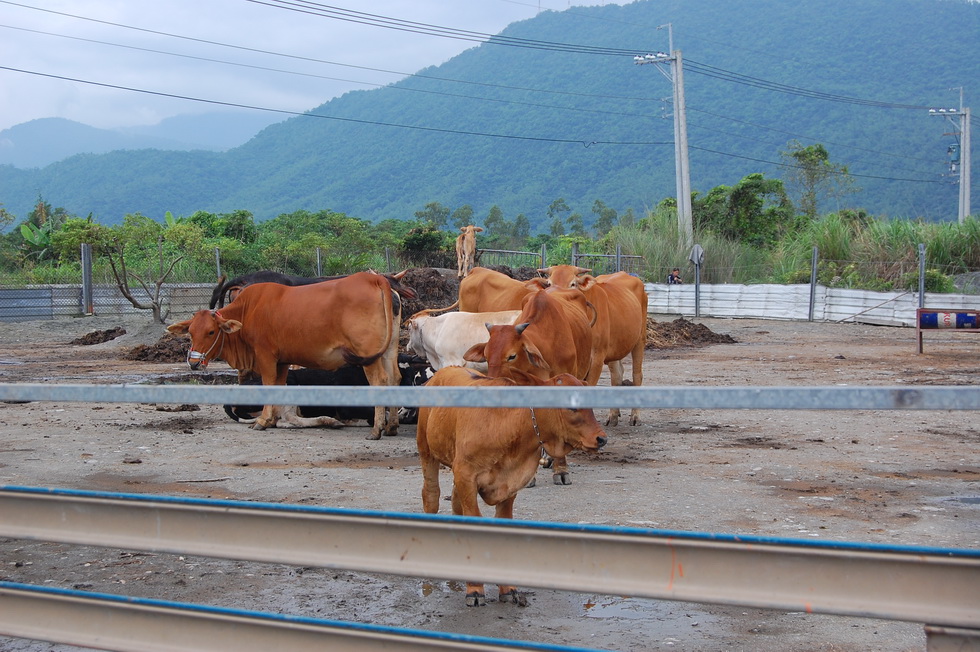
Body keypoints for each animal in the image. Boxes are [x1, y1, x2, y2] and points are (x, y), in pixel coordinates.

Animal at [168, 270, 402, 438]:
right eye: (191, 332)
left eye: (211, 331)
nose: (194, 363)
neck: (248, 309)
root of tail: (375, 280)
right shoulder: (282, 362)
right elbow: (279, 387)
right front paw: (271, 419)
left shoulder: (265, 356)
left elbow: (269, 384)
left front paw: (263, 421)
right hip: (389, 350)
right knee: (394, 378)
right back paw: (391, 426)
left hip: (368, 355)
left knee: (379, 381)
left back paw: (376, 429)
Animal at [418, 366, 608, 608]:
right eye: (571, 406)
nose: (601, 439)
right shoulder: (467, 477)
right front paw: (475, 589)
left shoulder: (509, 485)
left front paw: (507, 589)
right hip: (427, 453)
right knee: (431, 496)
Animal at [540, 264, 648, 428]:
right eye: (549, 283)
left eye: (573, 283)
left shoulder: (597, 357)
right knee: (617, 376)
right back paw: (613, 415)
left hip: (639, 340)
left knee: (637, 375)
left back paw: (635, 416)